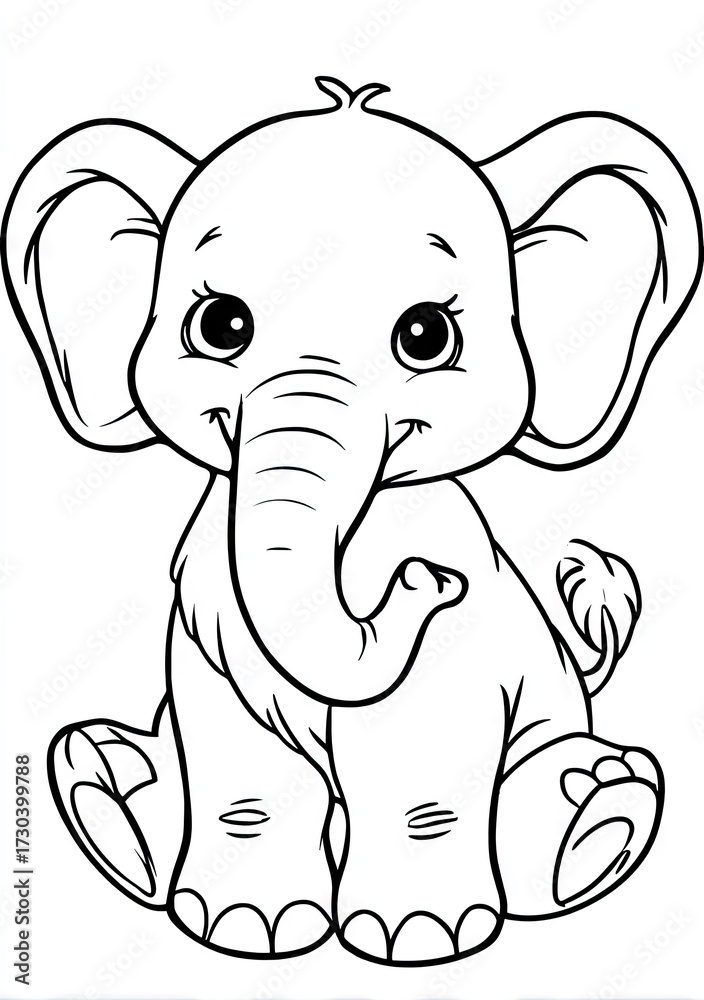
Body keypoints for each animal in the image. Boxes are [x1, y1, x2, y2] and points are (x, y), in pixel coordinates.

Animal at [3, 76, 702, 967]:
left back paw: (596, 811)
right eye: (221, 325)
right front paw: (248, 931)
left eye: (426, 335)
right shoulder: (205, 612)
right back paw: (106, 792)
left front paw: (419, 940)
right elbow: (235, 744)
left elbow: (419, 741)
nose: (426, 584)